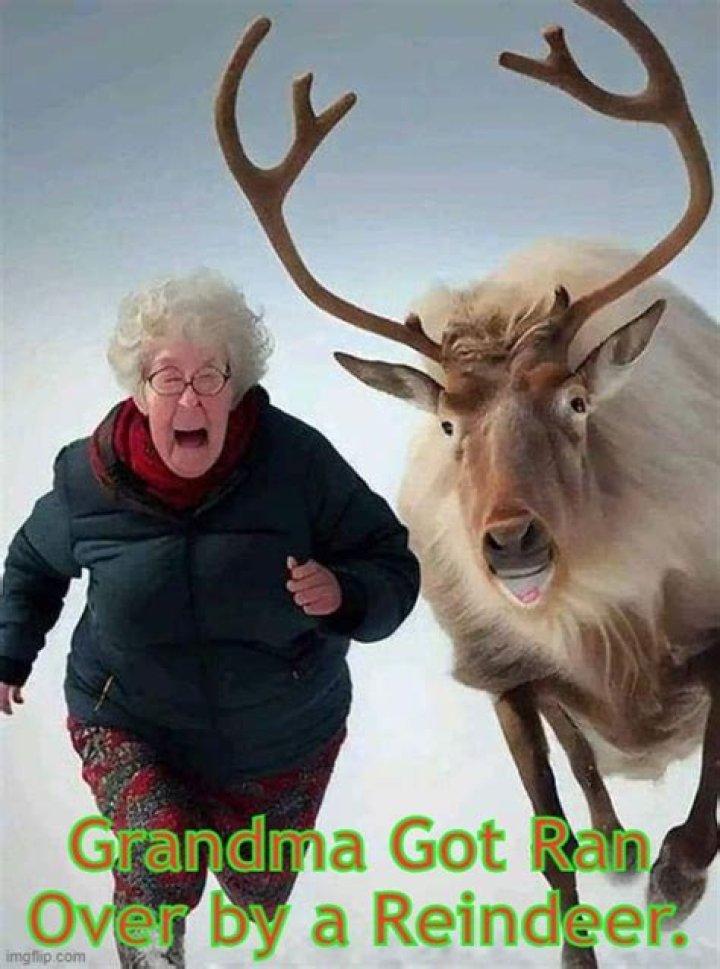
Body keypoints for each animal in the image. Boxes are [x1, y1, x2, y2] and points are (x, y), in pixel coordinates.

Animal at [213, 2, 718, 966]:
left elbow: (711, 791)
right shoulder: (505, 679)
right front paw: (603, 899)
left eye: (576, 401)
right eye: (449, 425)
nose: (512, 542)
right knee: (584, 764)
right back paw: (617, 843)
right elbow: (554, 839)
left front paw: (676, 880)